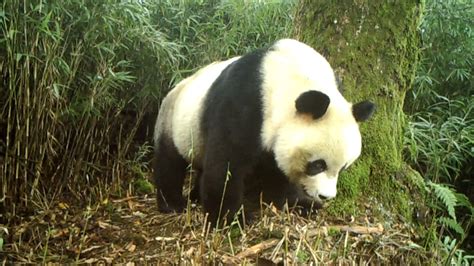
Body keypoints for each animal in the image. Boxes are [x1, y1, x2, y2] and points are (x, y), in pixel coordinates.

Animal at [154, 39, 376, 227]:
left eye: (344, 168)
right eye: (317, 165)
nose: (325, 196)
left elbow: (278, 170)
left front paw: (302, 204)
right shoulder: (242, 104)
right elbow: (225, 165)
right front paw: (231, 218)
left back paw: (195, 196)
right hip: (173, 120)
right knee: (169, 163)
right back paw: (173, 204)